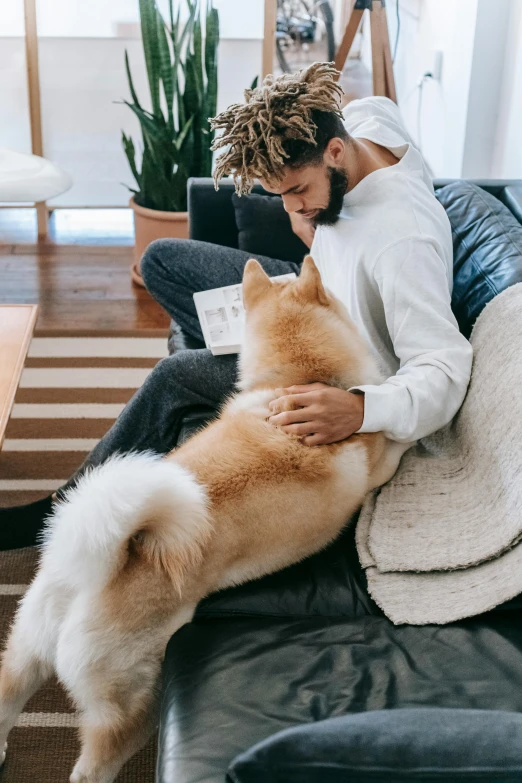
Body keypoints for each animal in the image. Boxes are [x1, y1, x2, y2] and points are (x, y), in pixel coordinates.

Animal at [0, 254, 406, 780]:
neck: (293, 383)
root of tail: (102, 566)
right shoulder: (380, 462)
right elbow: (397, 437)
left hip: (27, 650)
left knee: (6, 696)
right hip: (135, 699)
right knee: (93, 765)